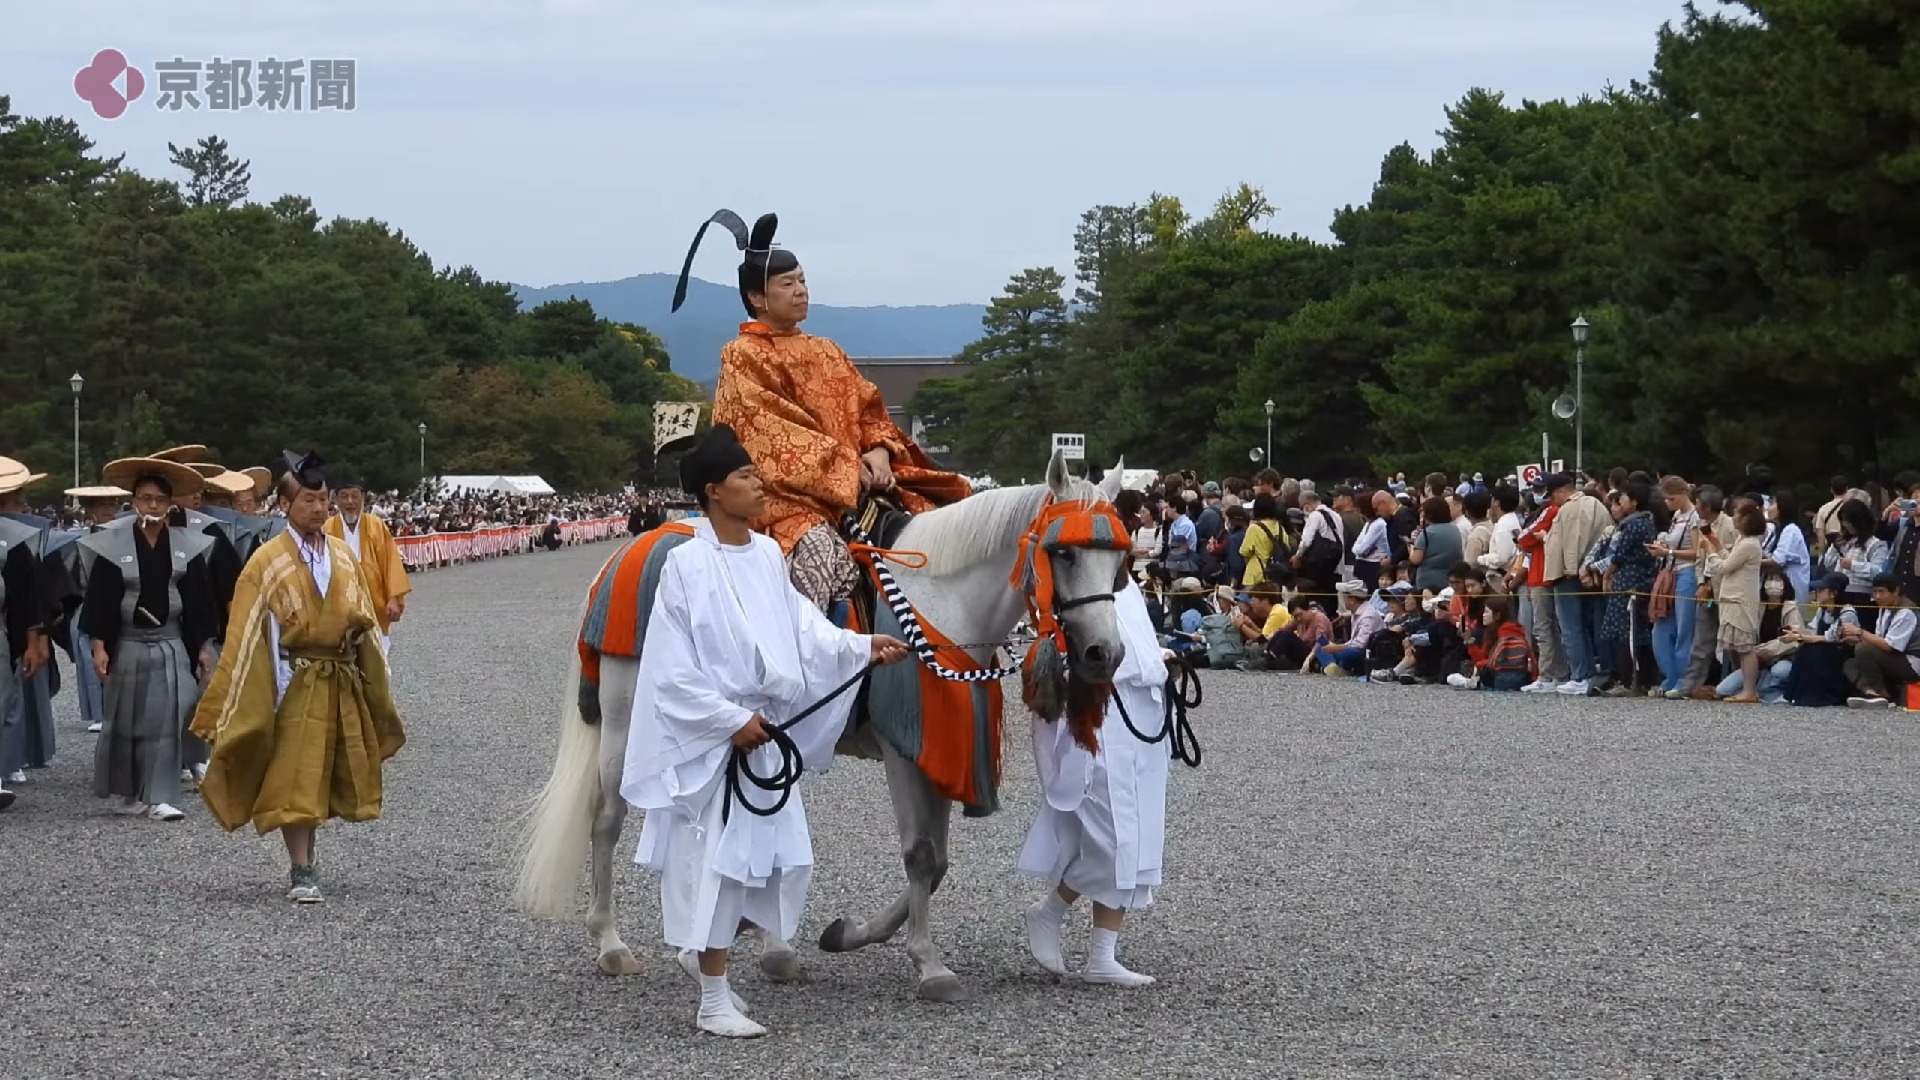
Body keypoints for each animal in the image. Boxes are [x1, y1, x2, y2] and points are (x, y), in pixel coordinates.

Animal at [518, 449, 1128, 999]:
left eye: (1120, 561)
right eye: (1062, 552)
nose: (1105, 653)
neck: (942, 603)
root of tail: (624, 556)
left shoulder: (941, 748)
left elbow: (937, 862)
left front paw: (851, 933)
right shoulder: (906, 749)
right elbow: (920, 855)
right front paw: (928, 964)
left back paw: (753, 942)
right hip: (630, 718)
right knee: (607, 820)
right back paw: (613, 942)